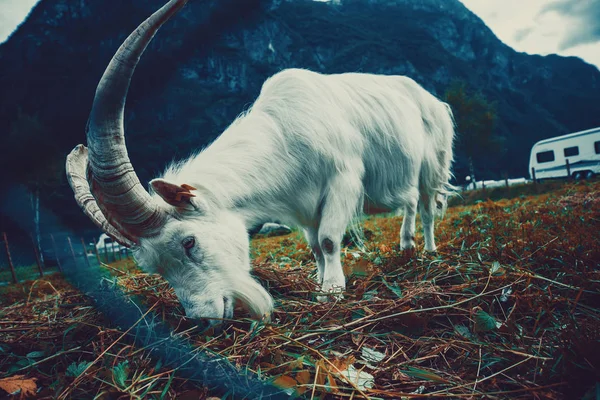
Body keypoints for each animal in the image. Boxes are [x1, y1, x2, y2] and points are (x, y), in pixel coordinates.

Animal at [64, 0, 454, 326]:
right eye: (154, 267)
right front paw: (318, 280)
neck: (285, 133)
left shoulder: (343, 180)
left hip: (433, 165)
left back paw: (429, 250)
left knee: (427, 206)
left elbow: (329, 240)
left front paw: (331, 292)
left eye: (189, 242)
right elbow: (315, 246)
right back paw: (406, 246)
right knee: (409, 202)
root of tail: (430, 99)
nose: (202, 319)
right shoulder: (302, 203)